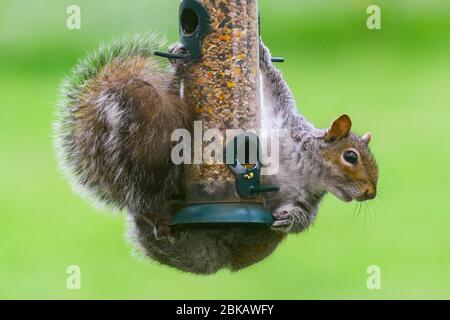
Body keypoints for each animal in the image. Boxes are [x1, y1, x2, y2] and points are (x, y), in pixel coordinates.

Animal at [56, 35, 380, 276]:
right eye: (351, 157)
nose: (370, 193)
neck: (303, 167)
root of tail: (220, 260)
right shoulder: (282, 122)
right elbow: (274, 88)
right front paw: (262, 55)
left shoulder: (309, 196)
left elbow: (305, 217)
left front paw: (290, 218)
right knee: (145, 210)